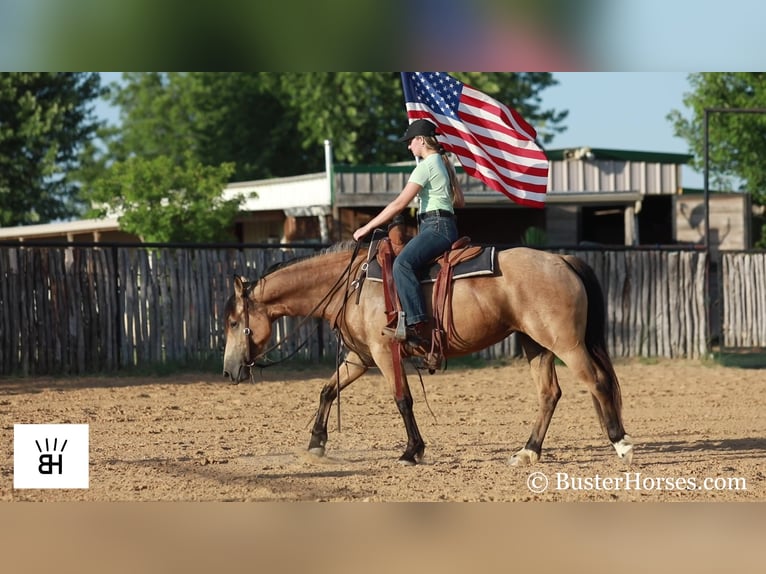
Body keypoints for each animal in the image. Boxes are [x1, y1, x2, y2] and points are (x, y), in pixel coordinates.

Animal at [222, 243, 636, 468]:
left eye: (232, 322)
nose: (228, 372)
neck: (352, 285)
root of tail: (561, 259)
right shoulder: (360, 357)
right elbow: (328, 390)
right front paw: (316, 444)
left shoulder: (383, 352)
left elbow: (402, 400)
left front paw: (411, 451)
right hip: (536, 344)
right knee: (550, 394)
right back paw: (528, 452)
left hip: (565, 343)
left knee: (597, 382)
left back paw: (621, 443)